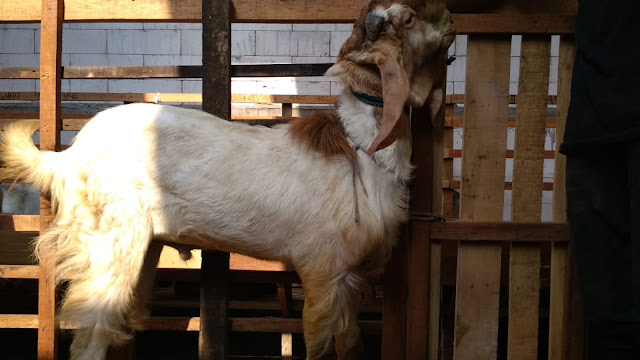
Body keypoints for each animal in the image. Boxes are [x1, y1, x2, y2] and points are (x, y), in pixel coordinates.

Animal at [0, 1, 456, 358]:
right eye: (410, 17)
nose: (453, 17)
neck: (361, 149)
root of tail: (67, 156)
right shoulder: (322, 271)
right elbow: (320, 345)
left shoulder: (349, 282)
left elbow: (352, 345)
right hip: (108, 244)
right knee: (90, 336)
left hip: (142, 249)